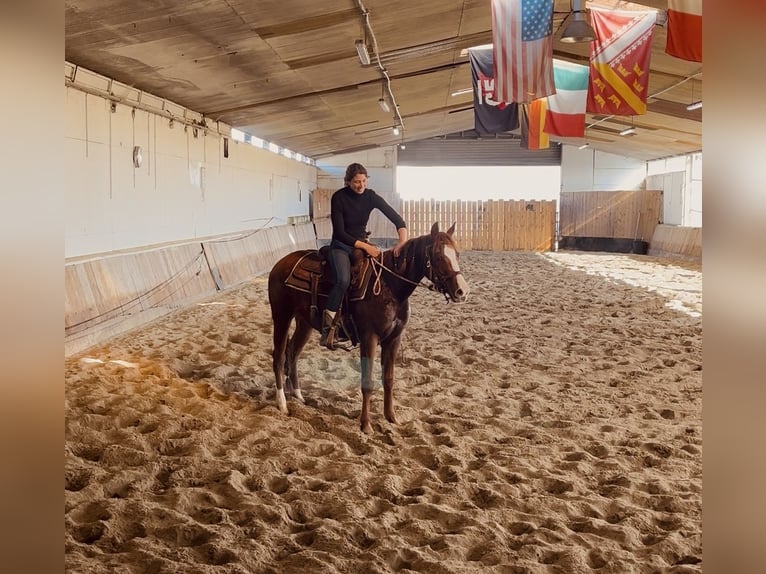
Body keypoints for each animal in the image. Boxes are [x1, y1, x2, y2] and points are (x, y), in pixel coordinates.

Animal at [267, 222, 470, 434]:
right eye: (438, 256)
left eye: (457, 254)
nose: (462, 292)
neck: (390, 286)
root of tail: (280, 264)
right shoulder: (369, 338)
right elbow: (367, 382)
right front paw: (365, 424)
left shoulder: (393, 339)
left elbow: (388, 379)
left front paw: (392, 418)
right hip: (282, 316)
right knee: (279, 357)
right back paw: (282, 404)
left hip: (304, 323)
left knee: (293, 353)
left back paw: (298, 395)